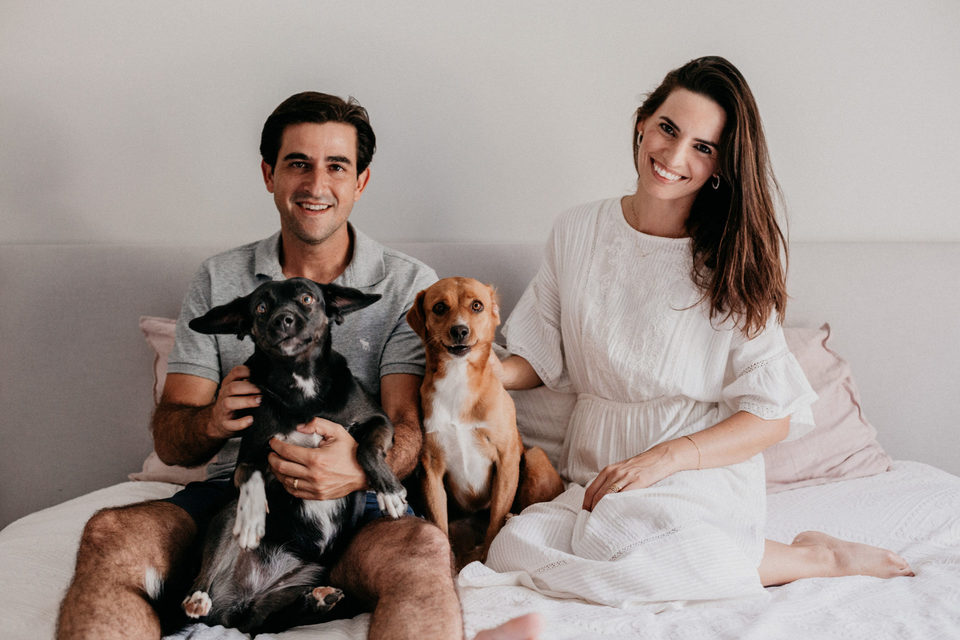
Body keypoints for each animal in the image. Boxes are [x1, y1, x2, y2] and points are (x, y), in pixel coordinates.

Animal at [179, 277, 407, 634]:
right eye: (261, 307)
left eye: (307, 298)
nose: (282, 320)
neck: (300, 382)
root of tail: (239, 600)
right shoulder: (250, 452)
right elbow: (251, 476)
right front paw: (252, 519)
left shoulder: (379, 420)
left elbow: (366, 448)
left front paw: (390, 492)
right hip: (224, 521)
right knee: (213, 581)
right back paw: (198, 597)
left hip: (315, 571)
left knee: (269, 616)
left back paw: (319, 600)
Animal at [406, 277, 563, 564]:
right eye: (440, 307)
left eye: (477, 305)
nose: (460, 330)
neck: (458, 379)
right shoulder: (432, 470)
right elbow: (440, 524)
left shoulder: (506, 459)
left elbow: (495, 523)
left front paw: (488, 555)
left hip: (534, 456)